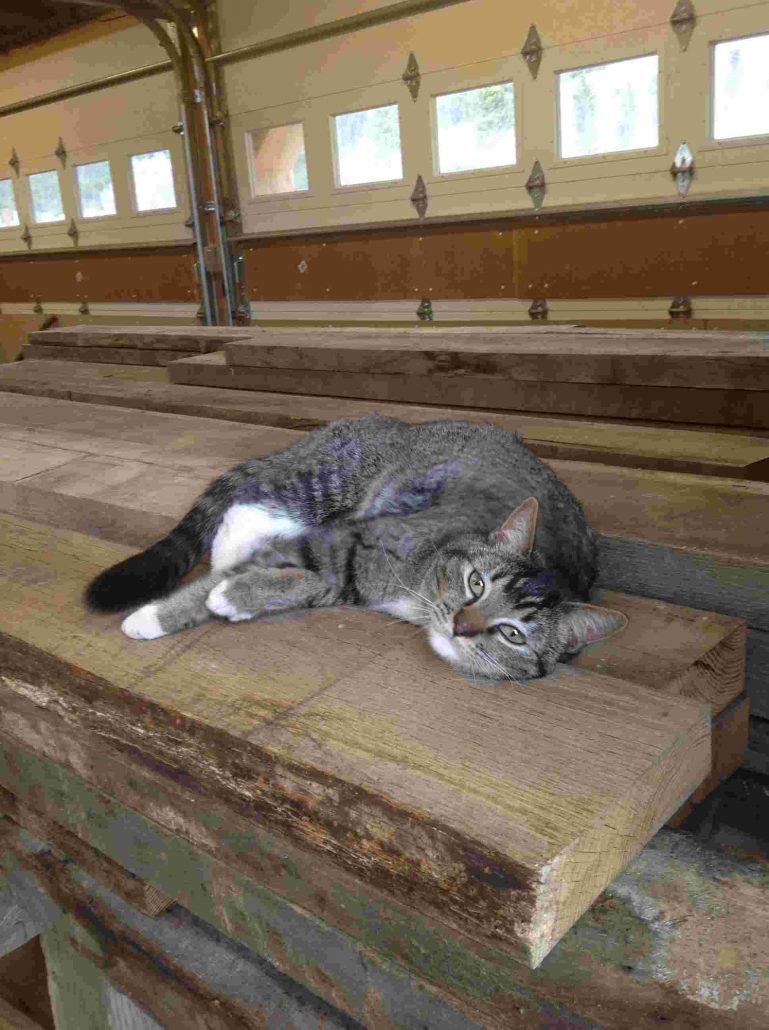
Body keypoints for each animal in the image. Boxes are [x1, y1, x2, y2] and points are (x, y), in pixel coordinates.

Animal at [85, 414, 625, 679]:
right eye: (477, 583)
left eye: (514, 634)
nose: (461, 624)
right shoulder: (351, 536)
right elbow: (220, 583)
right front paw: (157, 616)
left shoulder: (342, 573)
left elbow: (310, 584)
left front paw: (239, 597)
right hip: (331, 478)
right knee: (252, 497)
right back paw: (234, 547)